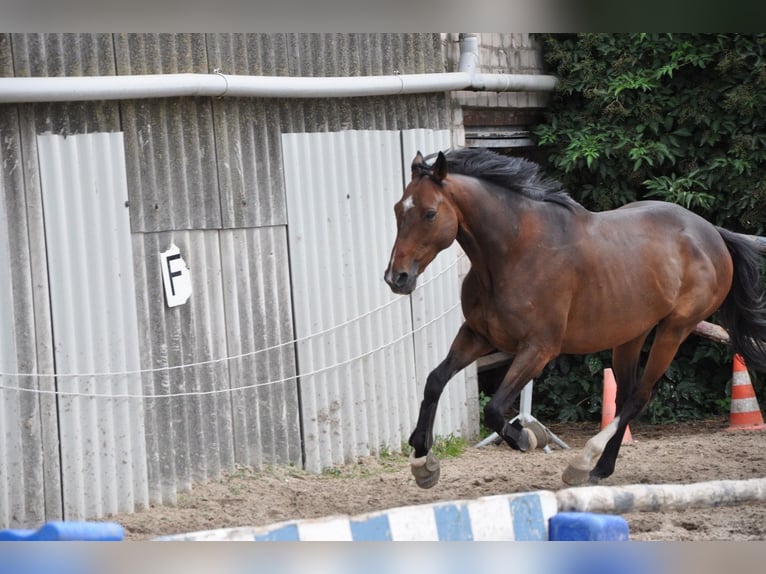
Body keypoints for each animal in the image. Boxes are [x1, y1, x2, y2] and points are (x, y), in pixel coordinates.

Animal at [388, 148, 766, 490]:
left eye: (430, 213)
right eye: (397, 209)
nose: (396, 278)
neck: (514, 252)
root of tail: (712, 233)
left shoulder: (538, 349)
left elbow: (494, 409)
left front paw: (524, 438)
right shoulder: (478, 336)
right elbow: (435, 381)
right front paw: (423, 462)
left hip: (675, 330)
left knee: (639, 396)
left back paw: (582, 463)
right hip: (631, 334)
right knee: (625, 395)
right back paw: (600, 469)